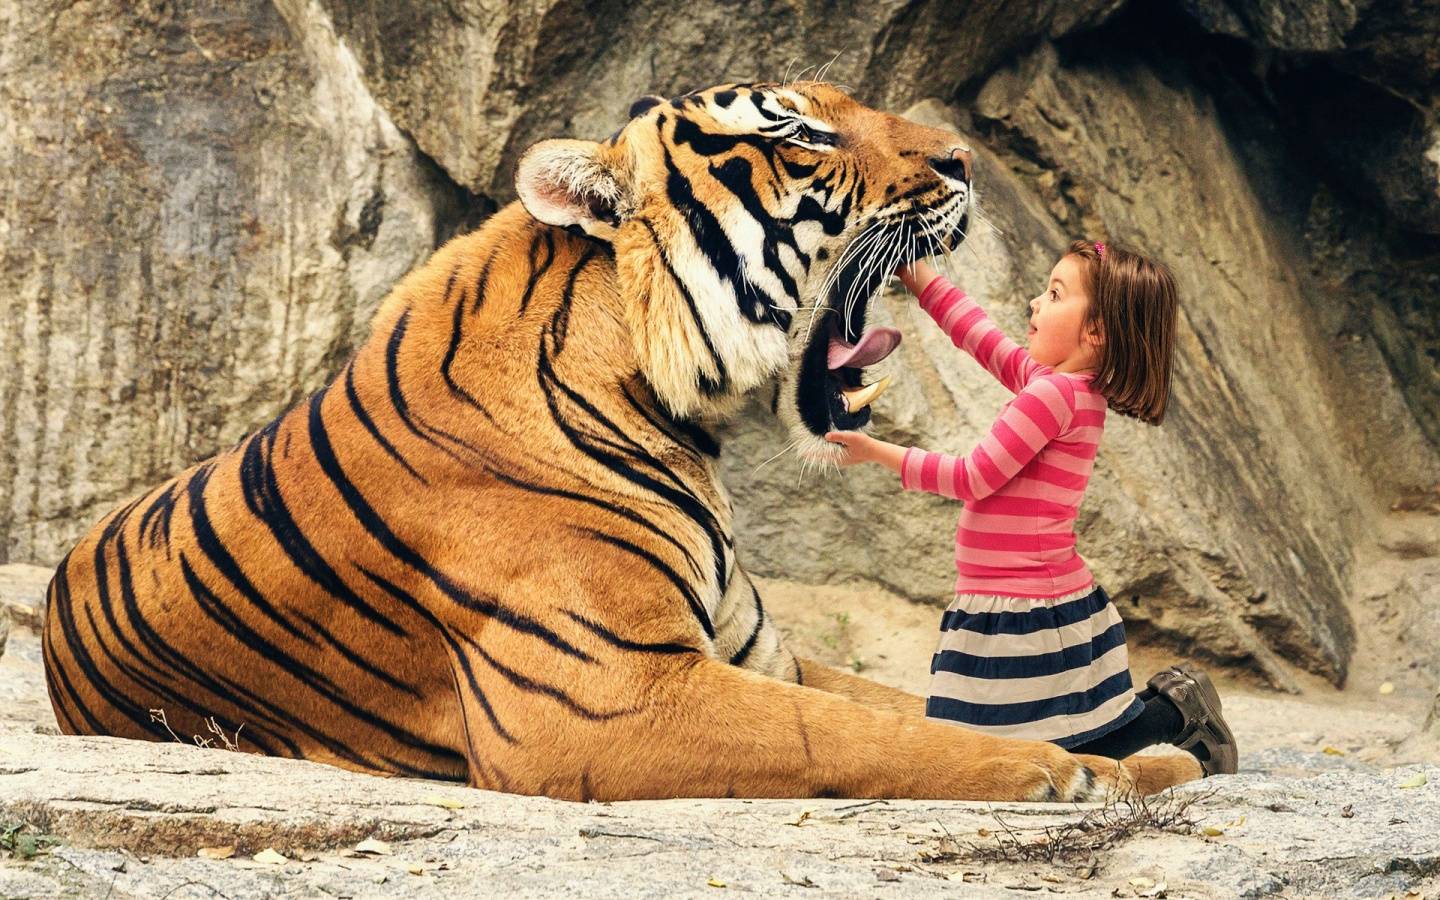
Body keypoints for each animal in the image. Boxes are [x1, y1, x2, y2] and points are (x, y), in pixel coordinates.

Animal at [42, 81, 1200, 802]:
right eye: (801, 136)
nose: (962, 161)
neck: (677, 414)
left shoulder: (758, 653)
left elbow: (917, 704)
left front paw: (1157, 759)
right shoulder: (609, 695)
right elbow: (879, 732)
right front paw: (1086, 771)